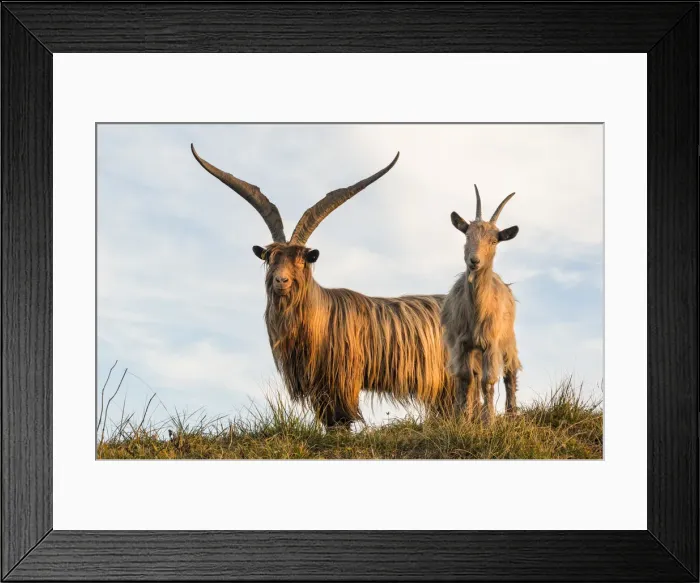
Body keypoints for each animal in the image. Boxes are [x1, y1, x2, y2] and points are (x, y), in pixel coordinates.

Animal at [191, 145, 455, 429]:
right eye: (271, 259)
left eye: (302, 260)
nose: (281, 281)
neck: (317, 315)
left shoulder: (340, 379)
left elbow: (339, 419)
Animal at [441, 185, 522, 424]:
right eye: (467, 235)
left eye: (494, 241)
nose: (474, 261)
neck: (477, 312)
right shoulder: (461, 343)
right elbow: (465, 378)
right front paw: (462, 419)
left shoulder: (491, 343)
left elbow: (489, 380)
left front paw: (489, 421)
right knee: (473, 377)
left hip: (508, 338)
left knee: (510, 371)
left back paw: (511, 413)